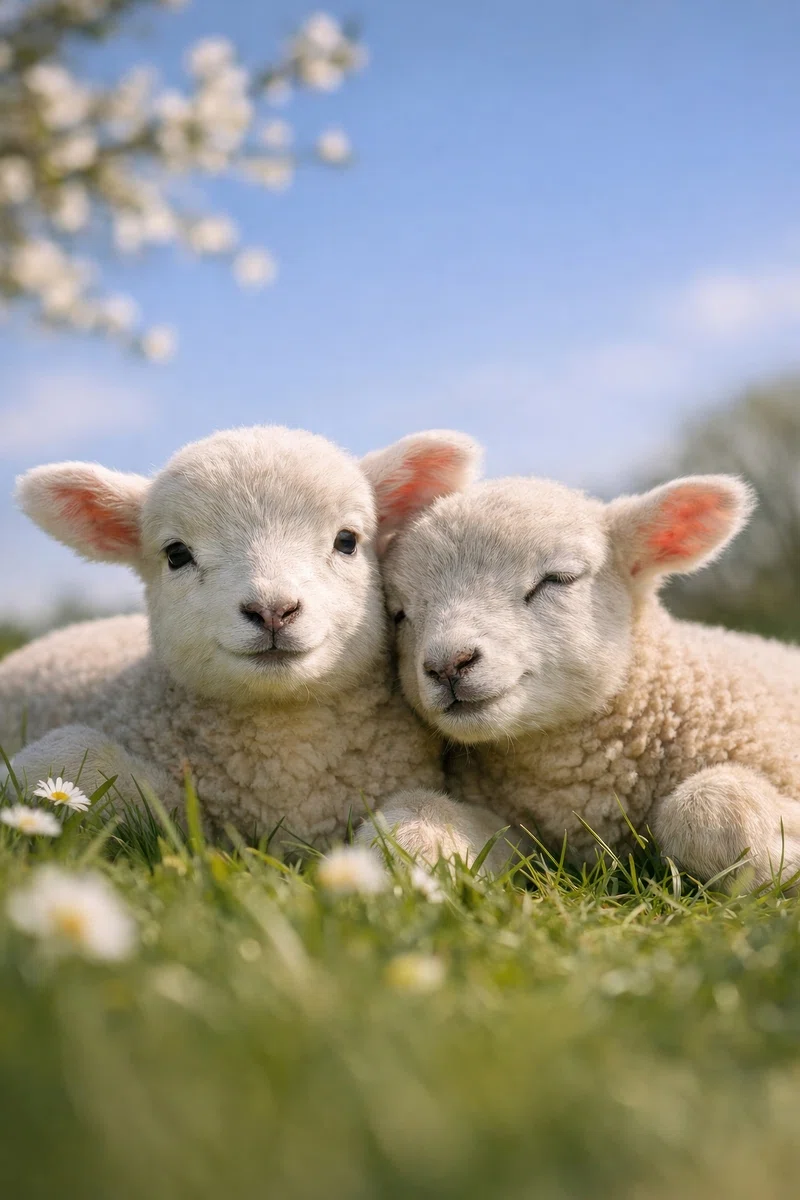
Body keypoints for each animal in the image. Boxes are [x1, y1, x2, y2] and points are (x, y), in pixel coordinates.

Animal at [0, 424, 506, 857]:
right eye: (176, 554)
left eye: (347, 541)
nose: (272, 611)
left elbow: (438, 814)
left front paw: (410, 855)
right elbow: (70, 758)